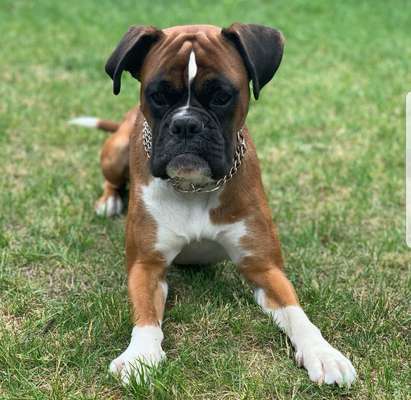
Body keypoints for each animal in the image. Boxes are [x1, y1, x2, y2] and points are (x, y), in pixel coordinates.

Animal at [69, 23, 356, 386]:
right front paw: (140, 355)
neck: (194, 187)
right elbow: (146, 315)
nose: (186, 124)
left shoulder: (264, 268)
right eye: (158, 95)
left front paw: (323, 352)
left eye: (221, 96)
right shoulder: (146, 266)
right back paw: (109, 201)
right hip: (116, 150)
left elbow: (296, 312)